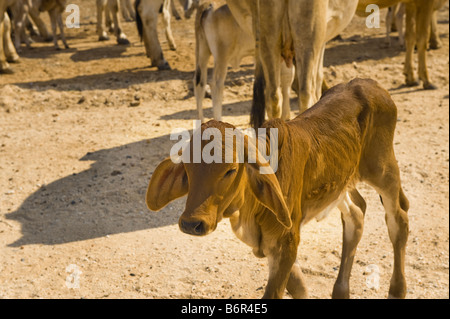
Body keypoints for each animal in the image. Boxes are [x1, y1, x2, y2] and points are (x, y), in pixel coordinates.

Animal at [147, 78, 412, 300]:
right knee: (356, 214)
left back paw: (396, 290)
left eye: (230, 170)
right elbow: (299, 288)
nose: (191, 223)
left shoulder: (286, 241)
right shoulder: (276, 248)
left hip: (383, 169)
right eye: (187, 168)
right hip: (341, 183)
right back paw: (340, 292)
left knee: (398, 220)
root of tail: (368, 84)